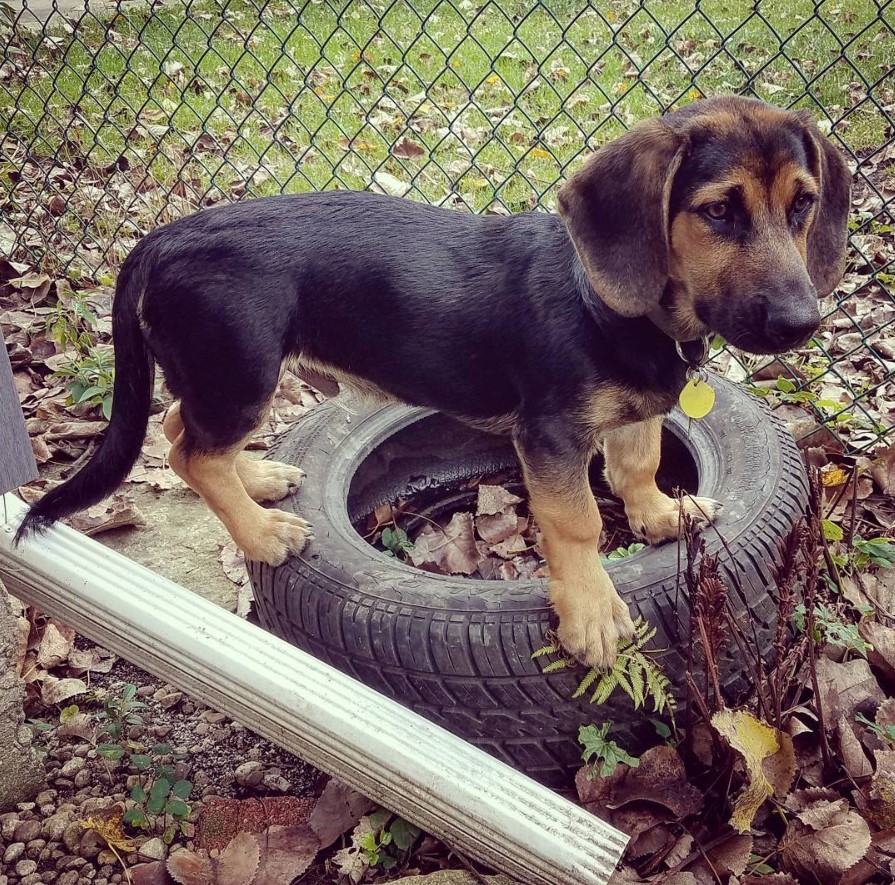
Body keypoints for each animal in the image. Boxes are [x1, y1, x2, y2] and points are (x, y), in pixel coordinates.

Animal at [17, 95, 852, 664]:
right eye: (717, 211)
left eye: (803, 203)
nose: (799, 323)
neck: (622, 308)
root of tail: (160, 238)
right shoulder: (548, 435)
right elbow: (576, 521)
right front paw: (589, 611)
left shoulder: (635, 409)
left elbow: (637, 462)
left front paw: (656, 515)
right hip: (242, 370)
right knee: (187, 449)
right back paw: (261, 531)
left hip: (225, 377)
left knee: (181, 431)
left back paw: (257, 481)